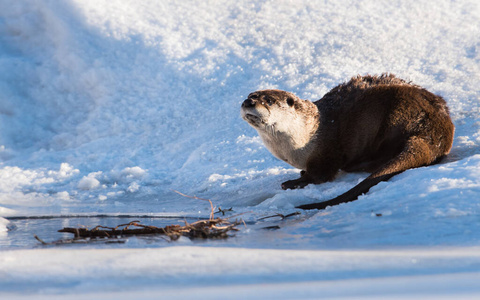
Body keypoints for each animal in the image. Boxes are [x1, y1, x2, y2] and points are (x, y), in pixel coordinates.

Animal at [240, 74, 454, 210]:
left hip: (397, 115)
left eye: (268, 100)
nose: (248, 102)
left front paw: (297, 181)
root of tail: (437, 130)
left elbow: (321, 174)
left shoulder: (327, 151)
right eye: (250, 95)